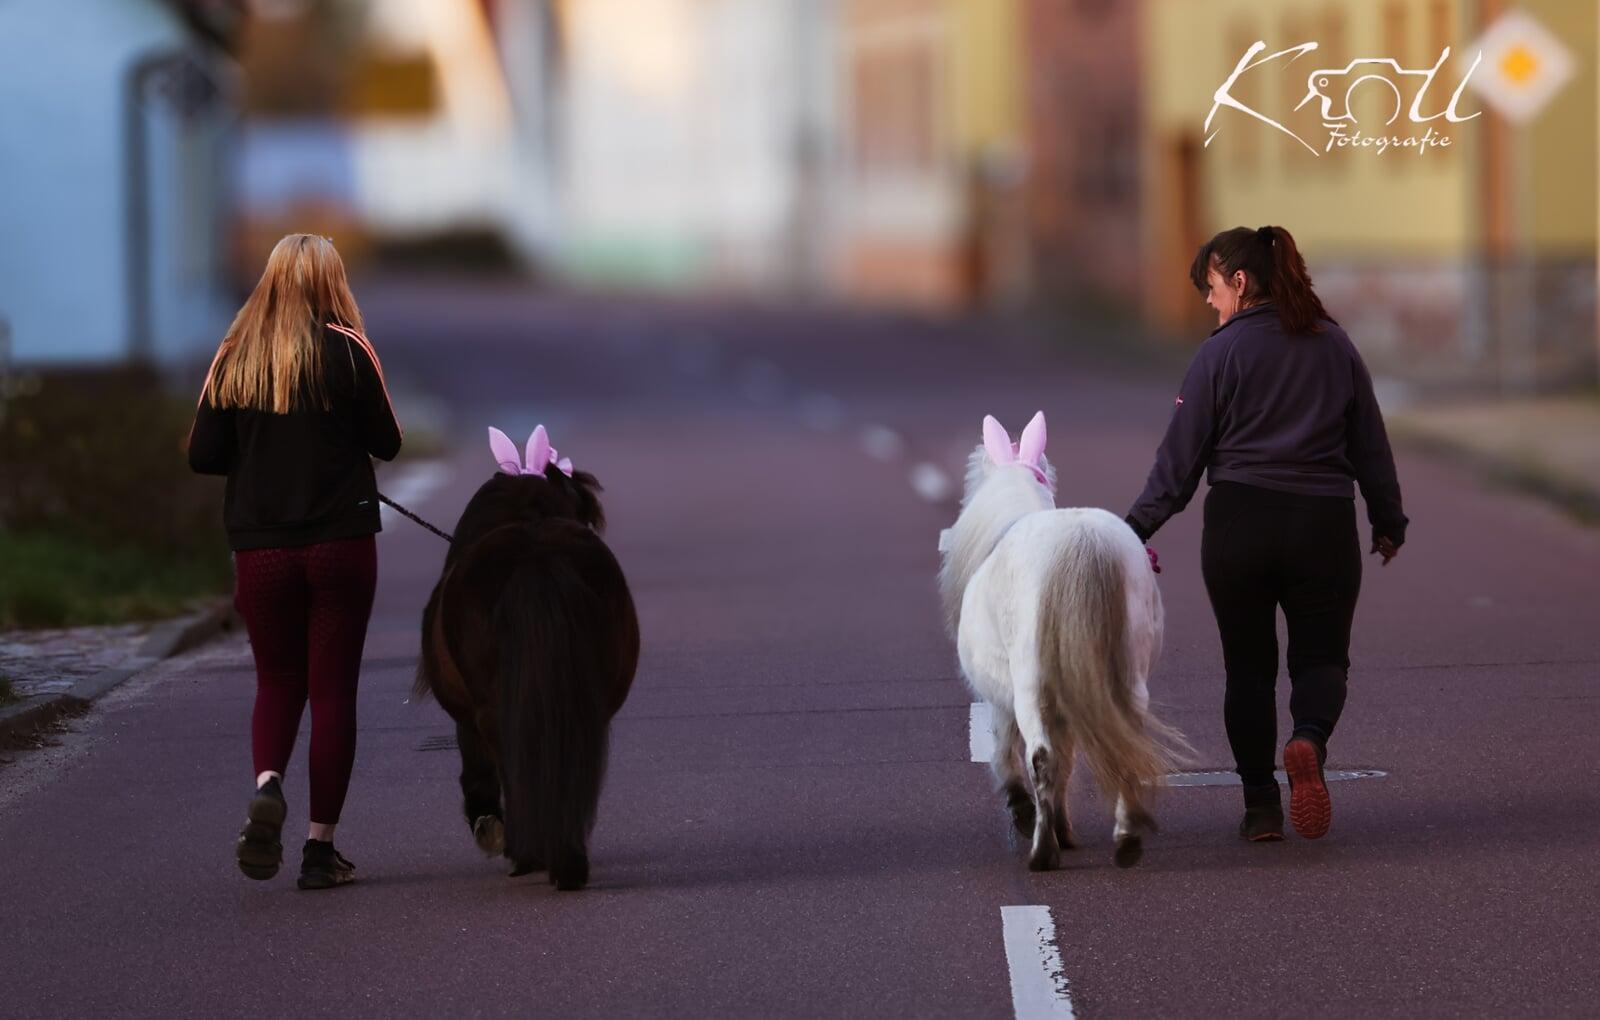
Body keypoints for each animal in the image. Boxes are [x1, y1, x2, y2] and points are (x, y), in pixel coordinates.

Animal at [416, 425, 639, 890]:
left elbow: (478, 774)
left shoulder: (467, 718)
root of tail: (539, 555)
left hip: (492, 711)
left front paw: (491, 829)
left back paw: (529, 853)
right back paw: (566, 857)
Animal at [937, 412, 1187, 871]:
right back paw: (1125, 840)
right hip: (1124, 677)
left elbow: (1009, 753)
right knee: (1122, 745)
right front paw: (1064, 827)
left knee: (1041, 758)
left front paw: (1029, 815)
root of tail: (1082, 542)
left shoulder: (1001, 700)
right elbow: (1070, 762)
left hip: (1030, 686)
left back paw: (1042, 852)